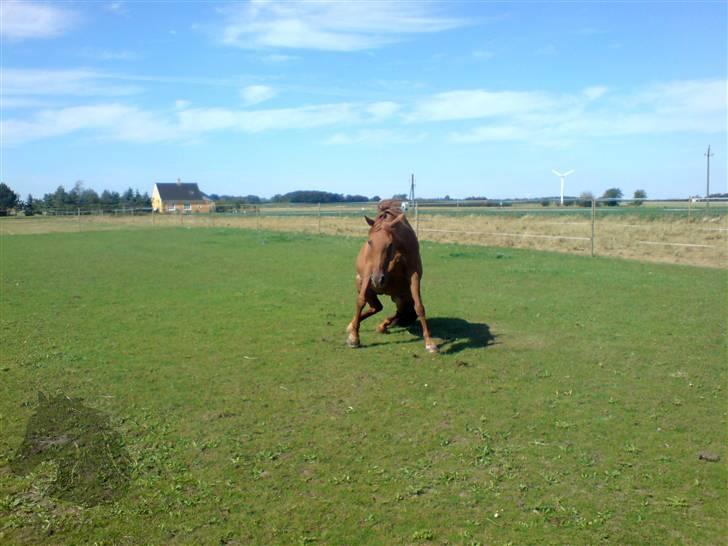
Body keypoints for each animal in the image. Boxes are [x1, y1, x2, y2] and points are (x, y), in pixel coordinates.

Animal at [346, 202, 438, 350]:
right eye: (370, 242)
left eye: (389, 244)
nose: (378, 280)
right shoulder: (368, 272)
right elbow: (360, 301)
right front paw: (354, 338)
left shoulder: (414, 274)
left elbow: (419, 306)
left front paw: (429, 343)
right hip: (360, 282)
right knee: (376, 307)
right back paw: (353, 324)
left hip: (401, 297)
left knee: (397, 311)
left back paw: (382, 326)